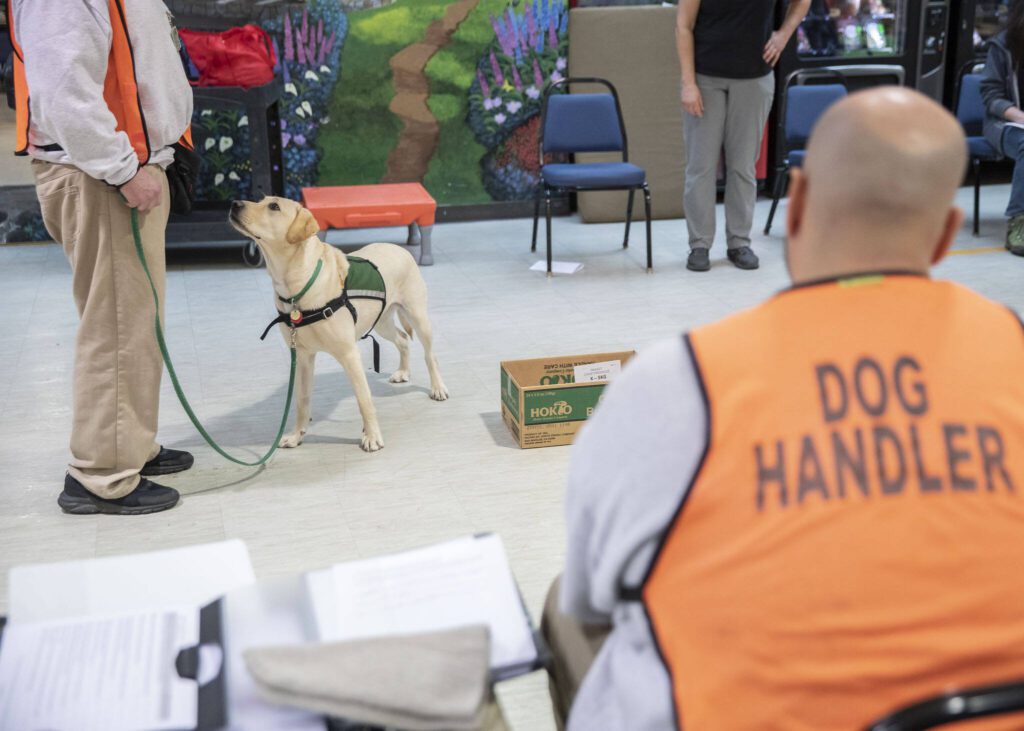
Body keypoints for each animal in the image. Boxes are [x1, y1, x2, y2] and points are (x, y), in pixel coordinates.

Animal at [232, 195, 448, 450]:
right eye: (260, 200)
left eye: (274, 206)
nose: (234, 204)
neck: (297, 287)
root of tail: (398, 248)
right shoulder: (303, 357)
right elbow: (302, 400)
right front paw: (296, 436)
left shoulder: (349, 354)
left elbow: (364, 399)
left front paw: (371, 436)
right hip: (381, 321)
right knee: (403, 339)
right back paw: (403, 372)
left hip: (418, 316)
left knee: (430, 355)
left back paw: (438, 387)